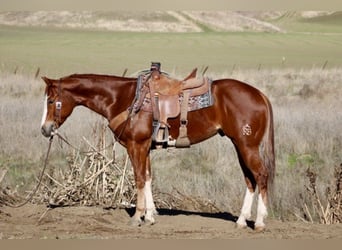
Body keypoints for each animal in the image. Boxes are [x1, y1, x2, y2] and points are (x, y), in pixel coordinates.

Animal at [40, 69, 276, 232]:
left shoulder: (136, 146)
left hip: (247, 146)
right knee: (250, 180)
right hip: (239, 145)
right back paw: (242, 221)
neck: (123, 98)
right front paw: (150, 216)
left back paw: (260, 222)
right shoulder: (145, 148)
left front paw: (138, 217)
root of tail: (260, 94)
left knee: (261, 175)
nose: (45, 129)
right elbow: (148, 178)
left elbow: (138, 179)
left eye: (51, 100)